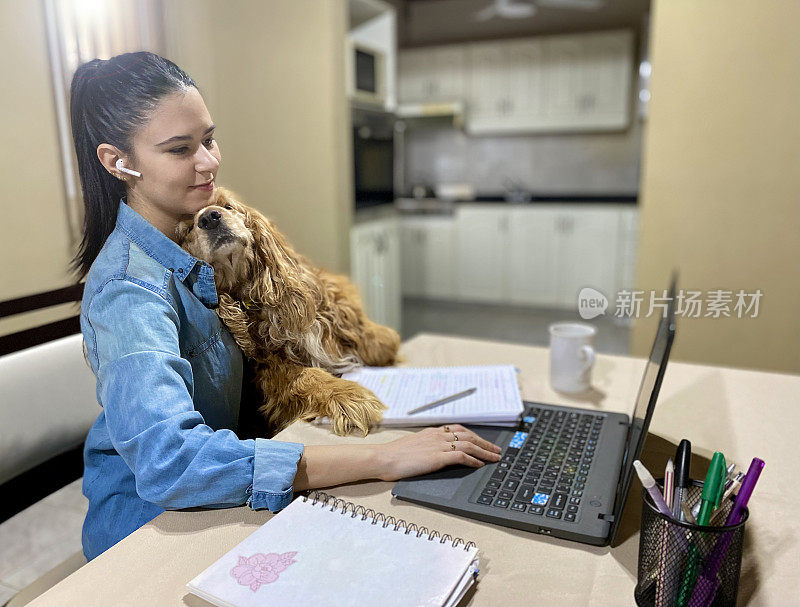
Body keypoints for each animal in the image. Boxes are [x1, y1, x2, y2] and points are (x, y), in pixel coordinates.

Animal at [177, 186, 398, 436]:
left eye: (227, 206)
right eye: (188, 229)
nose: (209, 218)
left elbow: (375, 338)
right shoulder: (271, 373)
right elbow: (308, 376)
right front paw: (351, 396)